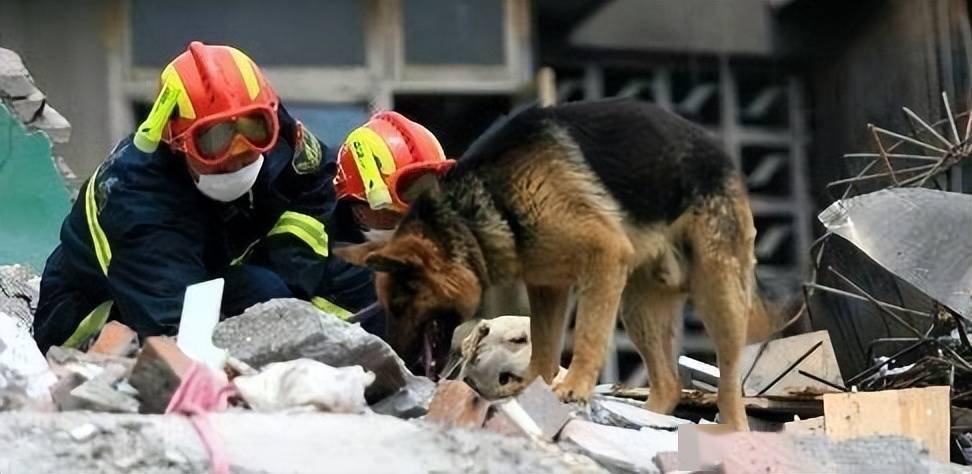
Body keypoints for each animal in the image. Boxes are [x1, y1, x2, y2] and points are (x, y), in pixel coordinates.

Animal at [340, 97, 760, 430]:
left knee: (729, 385)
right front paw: (535, 390)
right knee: (669, 383)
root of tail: (719, 150)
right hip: (636, 306)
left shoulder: (604, 257)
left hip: (717, 294)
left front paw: (572, 388)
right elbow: (543, 348)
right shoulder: (547, 286)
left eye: (400, 304)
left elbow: (588, 335)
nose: (399, 361)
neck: (479, 210)